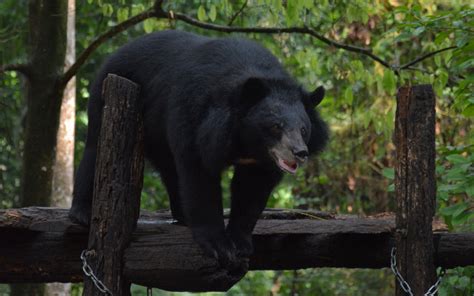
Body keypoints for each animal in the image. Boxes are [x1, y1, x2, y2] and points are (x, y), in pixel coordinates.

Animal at [70, 30, 328, 266]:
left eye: (304, 129)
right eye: (276, 126)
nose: (300, 152)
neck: (246, 143)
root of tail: (117, 52)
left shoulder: (261, 161)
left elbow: (252, 190)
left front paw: (241, 243)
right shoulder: (194, 116)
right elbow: (199, 174)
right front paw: (219, 246)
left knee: (169, 169)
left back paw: (182, 215)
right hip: (108, 94)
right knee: (94, 148)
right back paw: (82, 213)